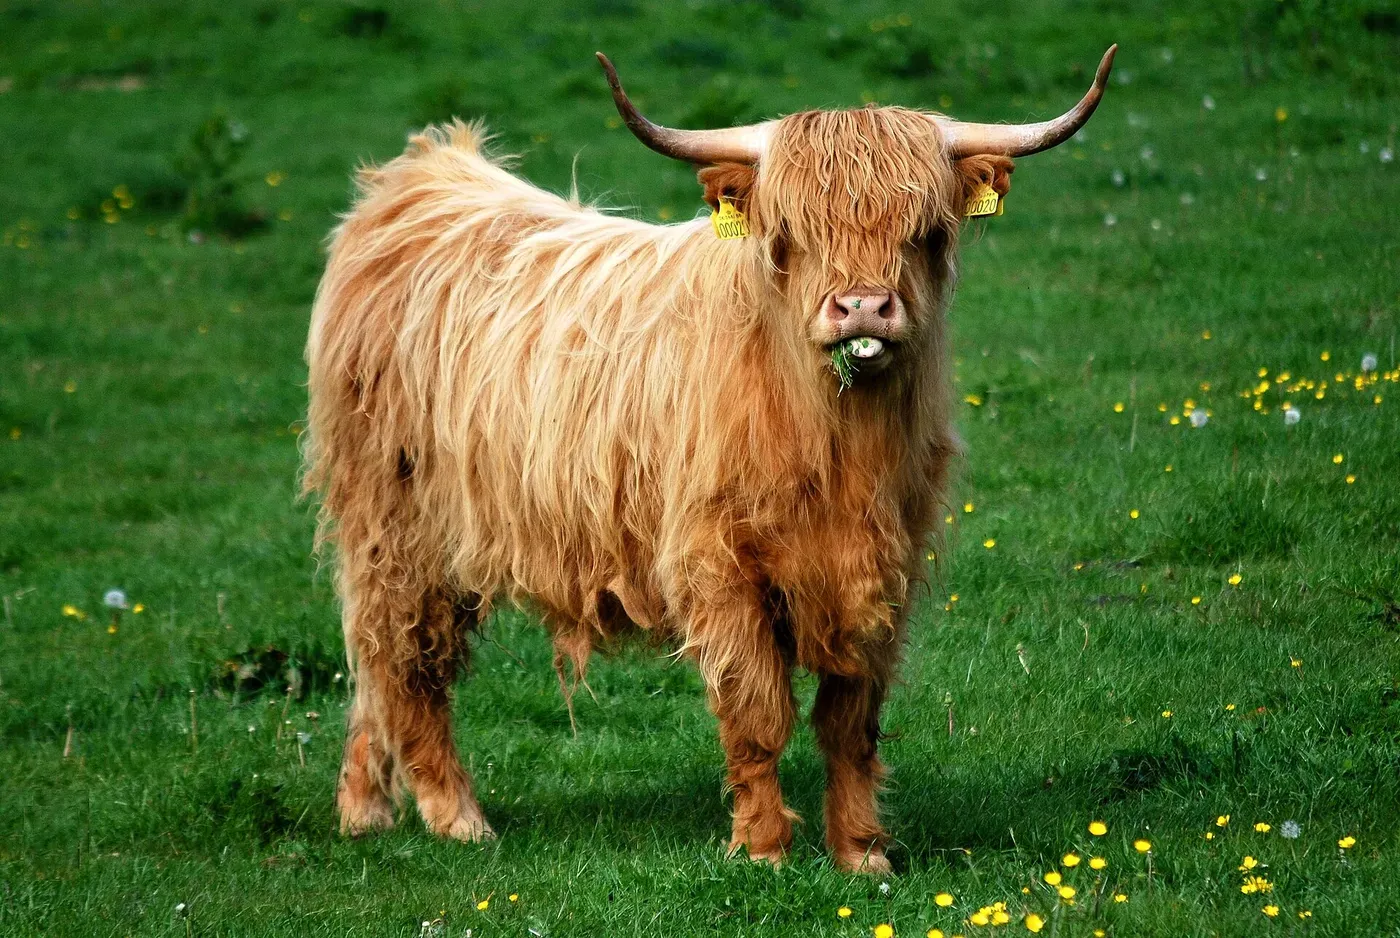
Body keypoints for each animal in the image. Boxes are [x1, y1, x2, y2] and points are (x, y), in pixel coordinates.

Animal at [303, 46, 1116, 872]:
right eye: (791, 232)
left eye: (924, 229)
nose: (861, 308)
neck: (833, 440)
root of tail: (423, 177)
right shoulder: (717, 563)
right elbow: (757, 713)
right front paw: (762, 849)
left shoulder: (883, 564)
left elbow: (852, 720)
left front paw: (862, 853)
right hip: (396, 522)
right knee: (404, 659)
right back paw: (453, 816)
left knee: (374, 663)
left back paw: (364, 809)